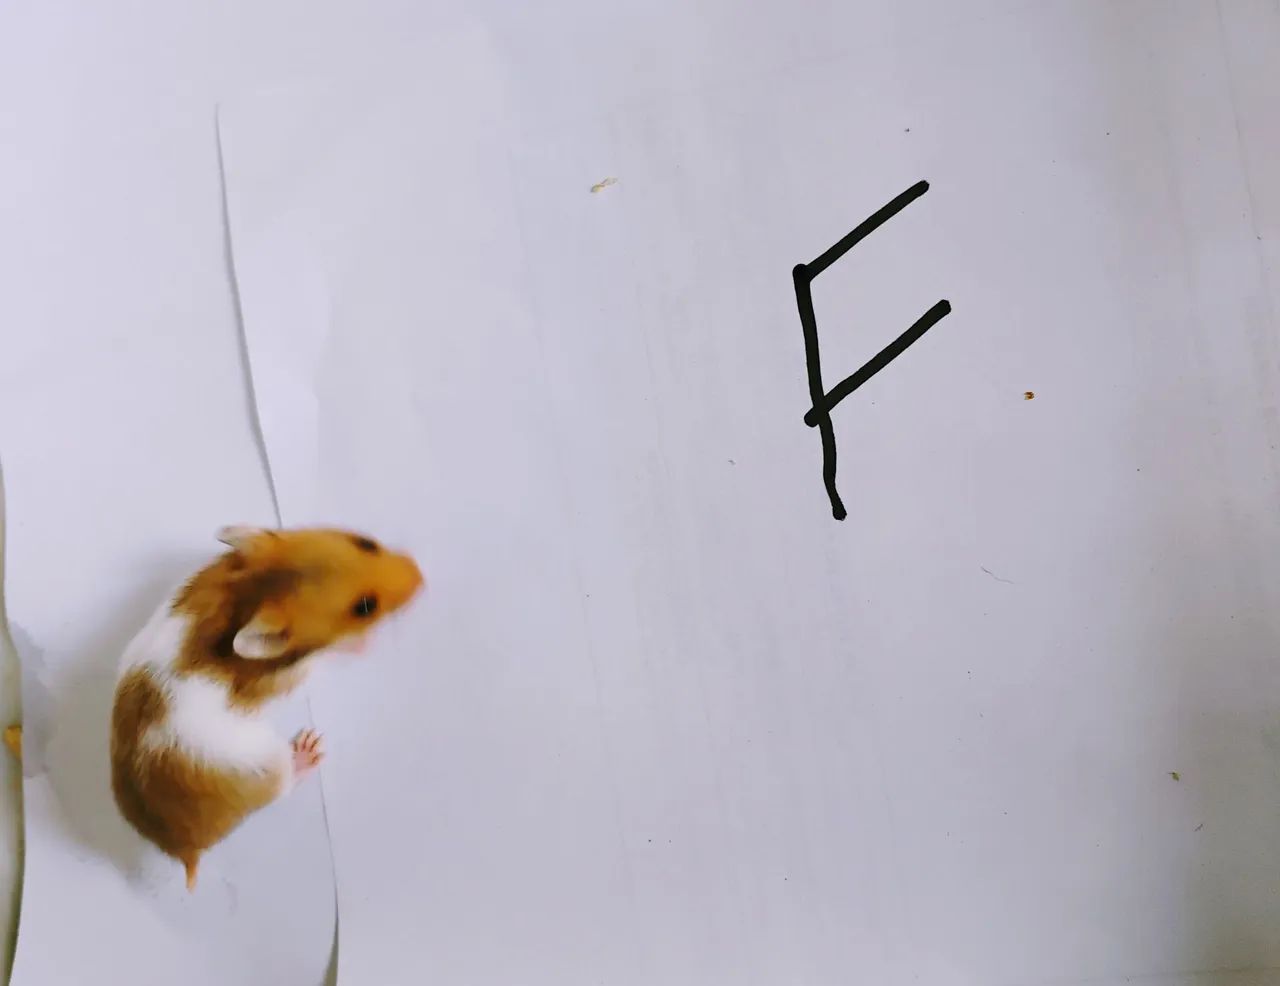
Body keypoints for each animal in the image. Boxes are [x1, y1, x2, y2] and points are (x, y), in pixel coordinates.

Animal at [109, 525, 423, 891]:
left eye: (367, 543)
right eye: (364, 607)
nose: (421, 576)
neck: (250, 592)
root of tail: (184, 852)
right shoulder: (296, 672)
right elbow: (328, 654)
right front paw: (362, 645)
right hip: (269, 768)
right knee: (286, 783)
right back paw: (309, 748)